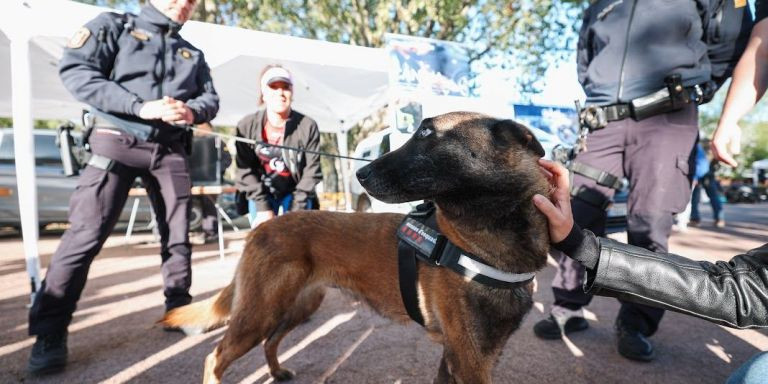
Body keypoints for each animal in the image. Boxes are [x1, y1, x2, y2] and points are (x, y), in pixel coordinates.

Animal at [159, 112, 548, 384]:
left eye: (426, 134)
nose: (361, 174)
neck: (477, 244)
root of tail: (264, 227)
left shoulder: (468, 355)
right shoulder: (470, 360)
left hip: (297, 306)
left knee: (270, 342)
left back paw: (278, 372)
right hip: (258, 314)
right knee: (215, 357)